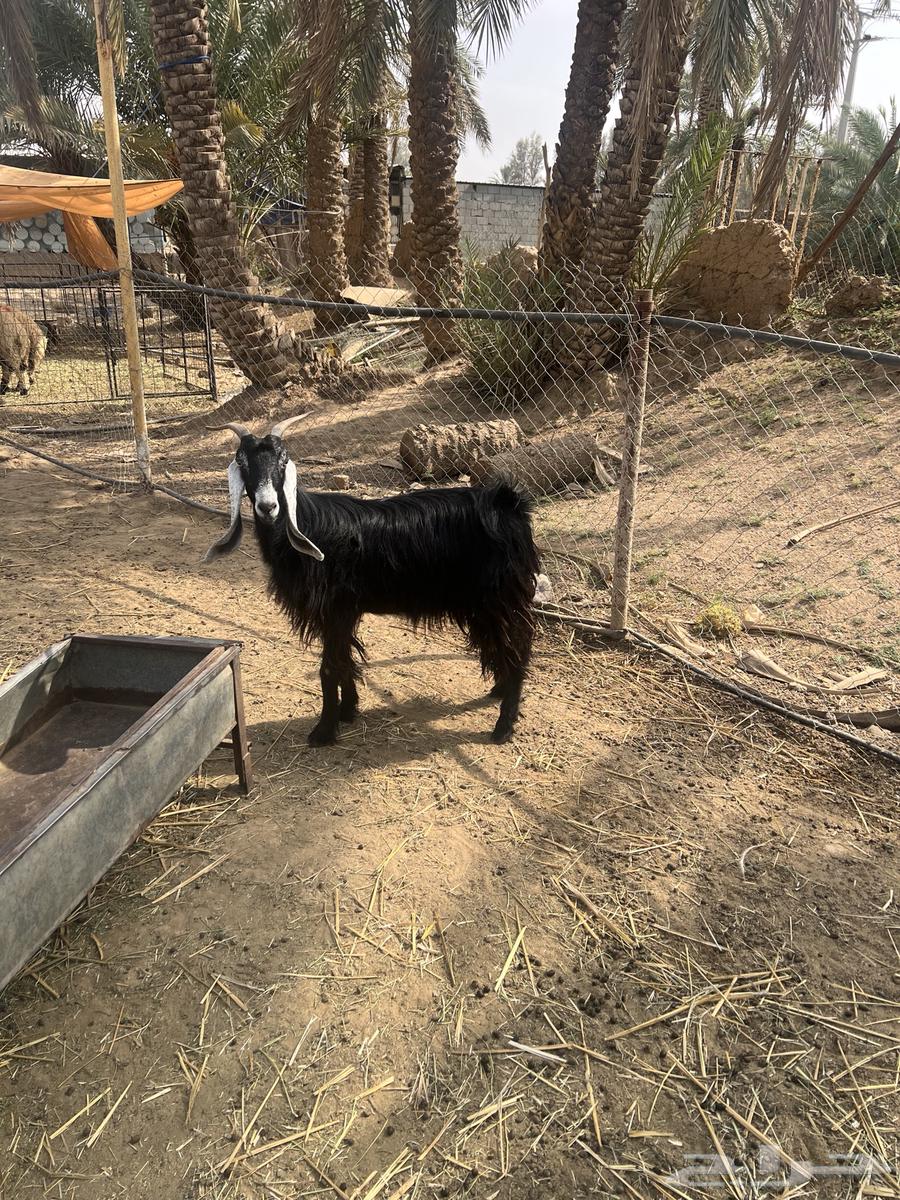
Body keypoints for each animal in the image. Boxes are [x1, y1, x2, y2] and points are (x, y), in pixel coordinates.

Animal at [204, 416, 539, 745]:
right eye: (242, 461)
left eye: (283, 459)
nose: (268, 507)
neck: (309, 527)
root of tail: (507, 502)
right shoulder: (340, 614)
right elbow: (345, 660)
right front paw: (348, 711)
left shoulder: (337, 608)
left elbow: (330, 668)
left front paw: (324, 731)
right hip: (483, 603)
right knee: (501, 644)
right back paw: (499, 689)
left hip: (501, 596)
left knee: (518, 647)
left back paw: (503, 727)